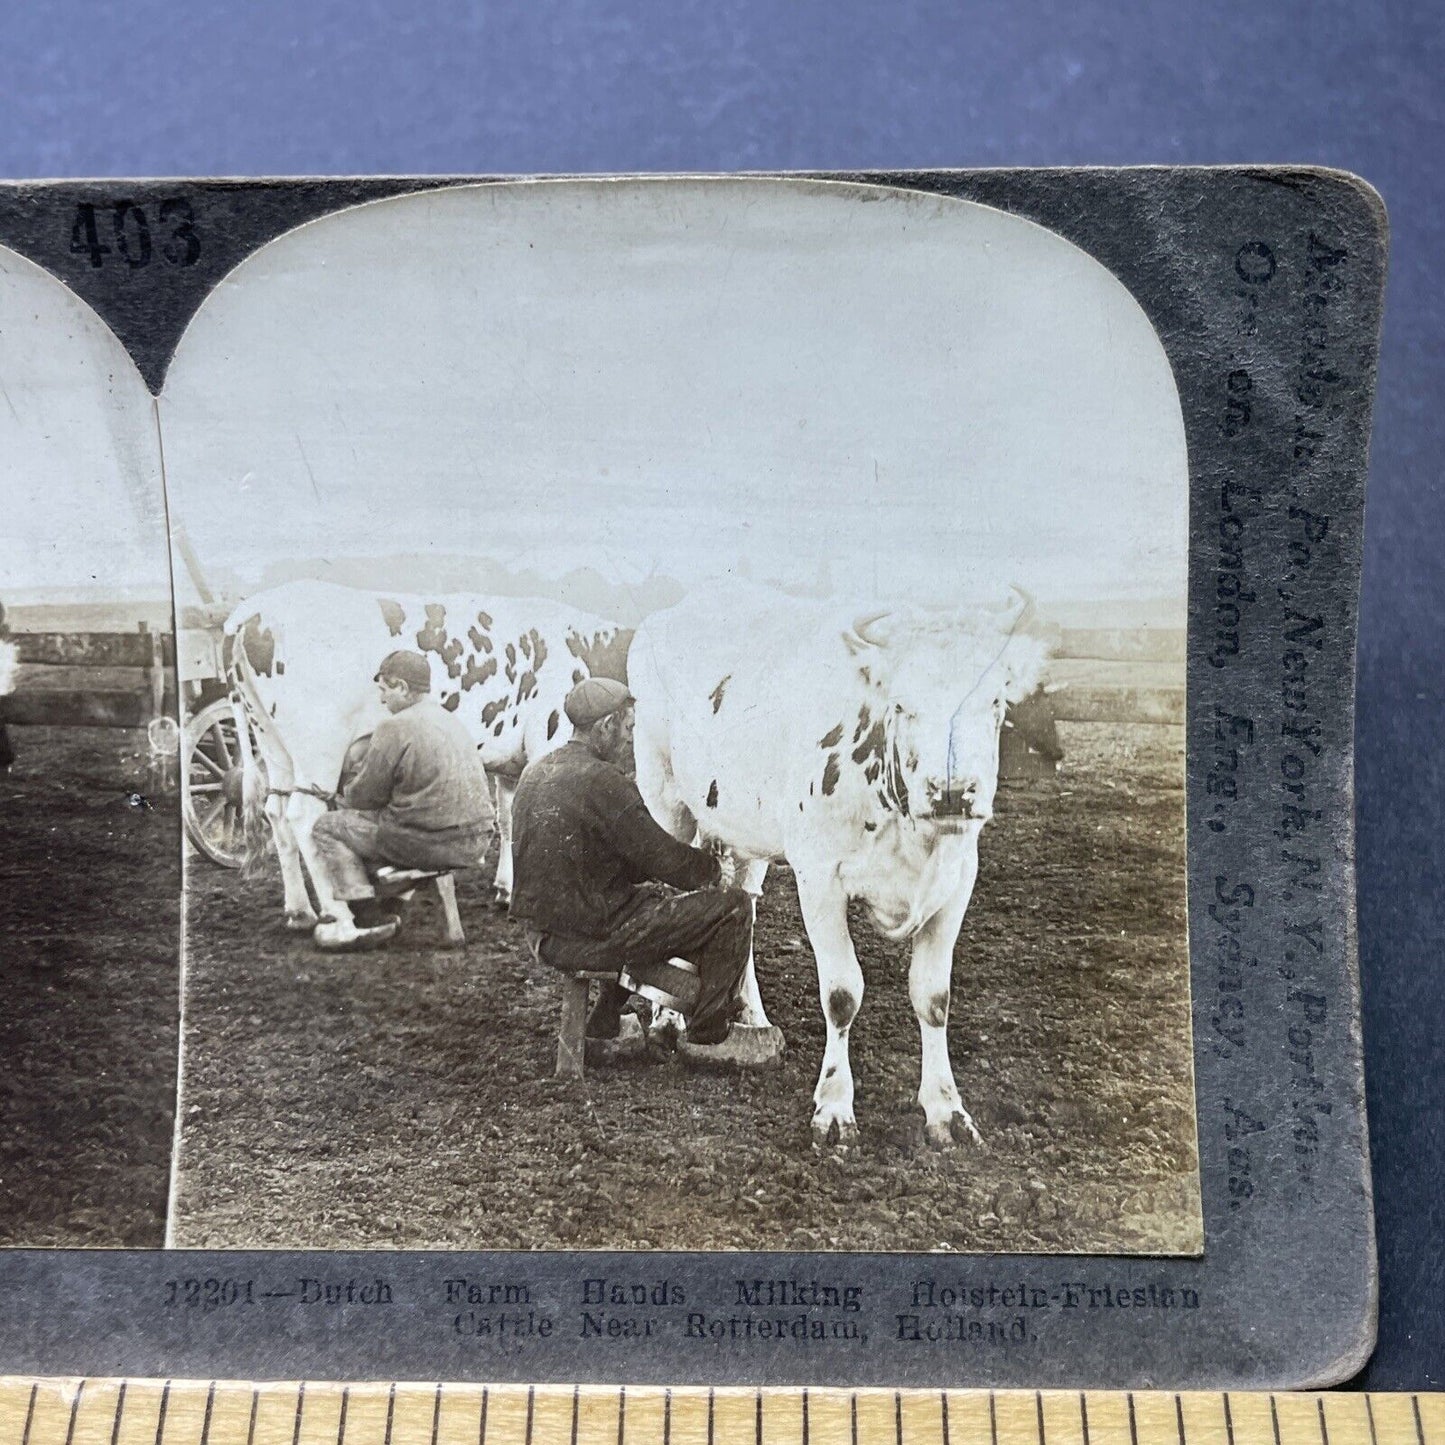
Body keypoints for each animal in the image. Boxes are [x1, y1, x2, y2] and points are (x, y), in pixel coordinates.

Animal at [228, 575, 630, 924]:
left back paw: (299, 911)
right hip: (319, 745)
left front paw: (506, 889)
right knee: (304, 815)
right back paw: (339, 915)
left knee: (276, 811)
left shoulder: (510, 762)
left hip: (272, 741)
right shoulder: (547, 737)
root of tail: (252, 612)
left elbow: (510, 818)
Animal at [632, 580, 1051, 1144]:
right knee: (680, 891)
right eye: (902, 705)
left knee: (741, 901)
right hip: (665, 799)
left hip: (746, 829)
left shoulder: (957, 880)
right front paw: (833, 1105)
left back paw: (752, 1017)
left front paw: (946, 1109)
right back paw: (666, 1020)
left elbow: (934, 997)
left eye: (996, 701)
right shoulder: (820, 879)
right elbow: (842, 994)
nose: (952, 792)